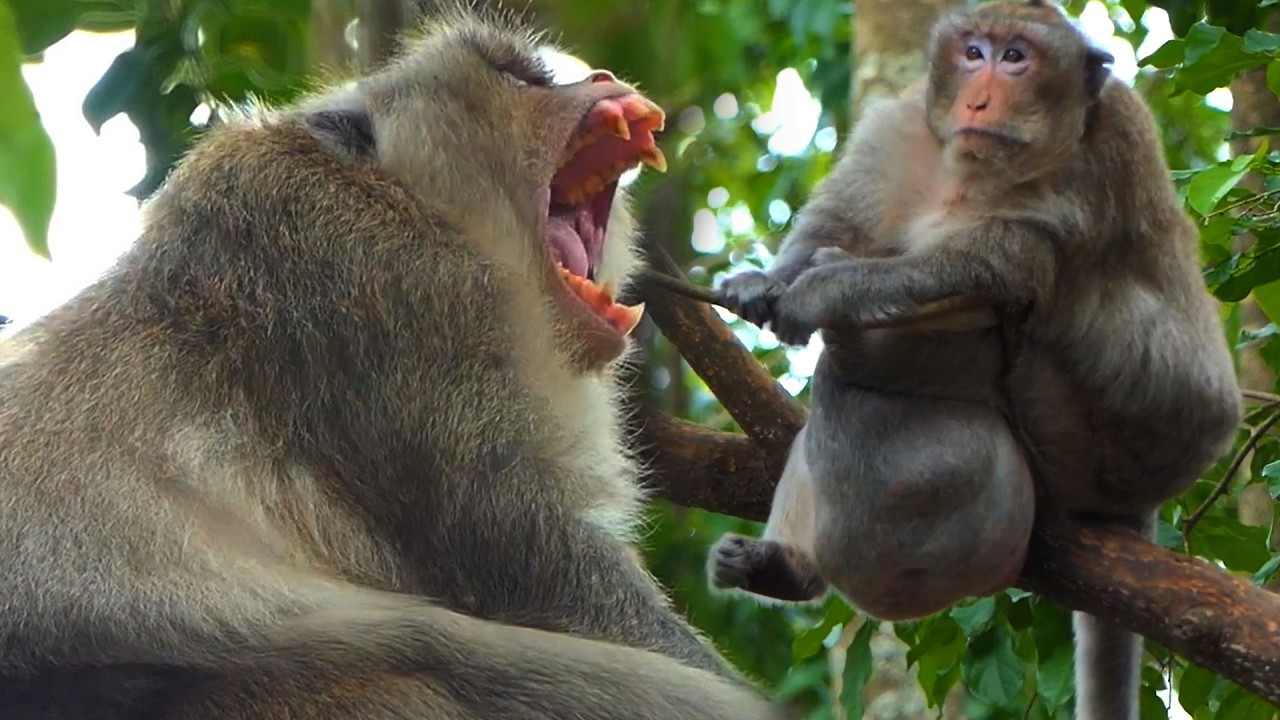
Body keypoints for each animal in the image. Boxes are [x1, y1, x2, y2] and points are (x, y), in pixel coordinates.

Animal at [709, 2, 1242, 719]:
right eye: (974, 52)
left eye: (1016, 57)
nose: (980, 97)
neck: (974, 171)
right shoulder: (902, 129)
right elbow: (843, 219)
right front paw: (768, 279)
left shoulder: (1102, 163)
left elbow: (995, 261)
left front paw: (826, 288)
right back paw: (784, 569)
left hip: (1078, 445)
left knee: (1032, 299)